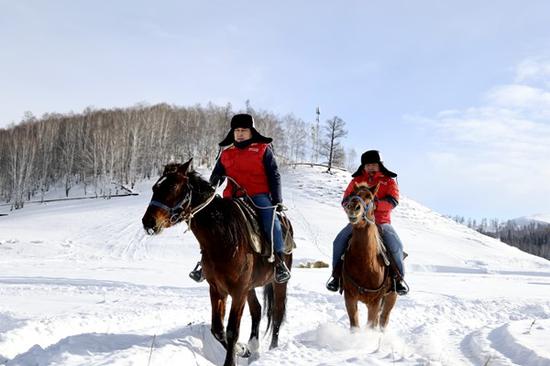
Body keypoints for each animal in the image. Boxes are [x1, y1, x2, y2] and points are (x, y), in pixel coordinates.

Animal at [141, 159, 294, 366]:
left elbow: (232, 331)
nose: (148, 222)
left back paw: (273, 348)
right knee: (257, 311)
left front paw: (231, 360)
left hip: (278, 284)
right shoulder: (217, 289)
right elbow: (218, 330)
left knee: (277, 314)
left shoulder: (238, 291)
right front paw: (242, 350)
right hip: (250, 287)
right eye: (154, 187)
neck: (224, 238)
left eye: (172, 186)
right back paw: (253, 347)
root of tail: (285, 221)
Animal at [340, 182, 396, 328]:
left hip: (391, 297)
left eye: (370, 196)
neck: (365, 262)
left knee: (383, 319)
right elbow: (355, 326)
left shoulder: (375, 302)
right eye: (352, 195)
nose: (353, 207)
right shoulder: (350, 297)